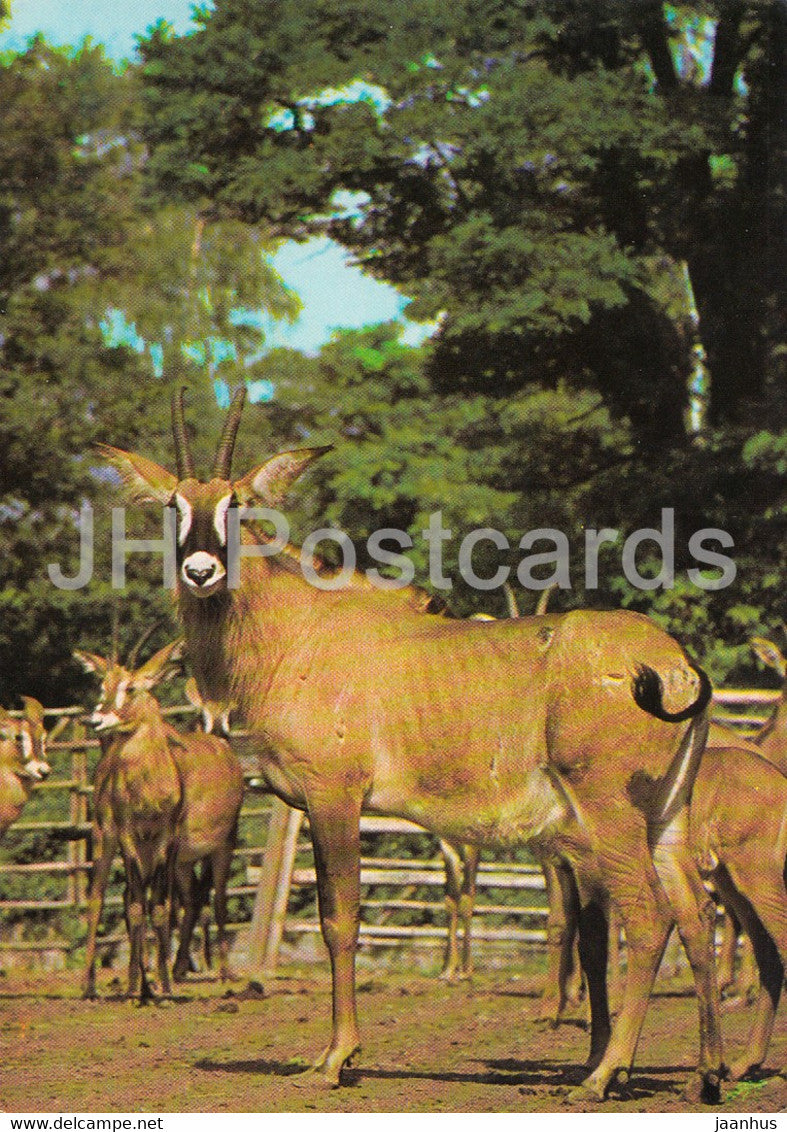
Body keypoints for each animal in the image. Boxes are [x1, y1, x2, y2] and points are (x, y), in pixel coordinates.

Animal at [96, 388, 723, 1101]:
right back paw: (708, 1073)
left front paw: (337, 1057)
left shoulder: (333, 797)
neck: (297, 631)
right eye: (175, 505)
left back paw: (602, 1075)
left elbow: (341, 920)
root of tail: (674, 663)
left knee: (648, 918)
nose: (200, 572)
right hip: (666, 818)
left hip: (609, 814)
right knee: (697, 918)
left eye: (237, 502)